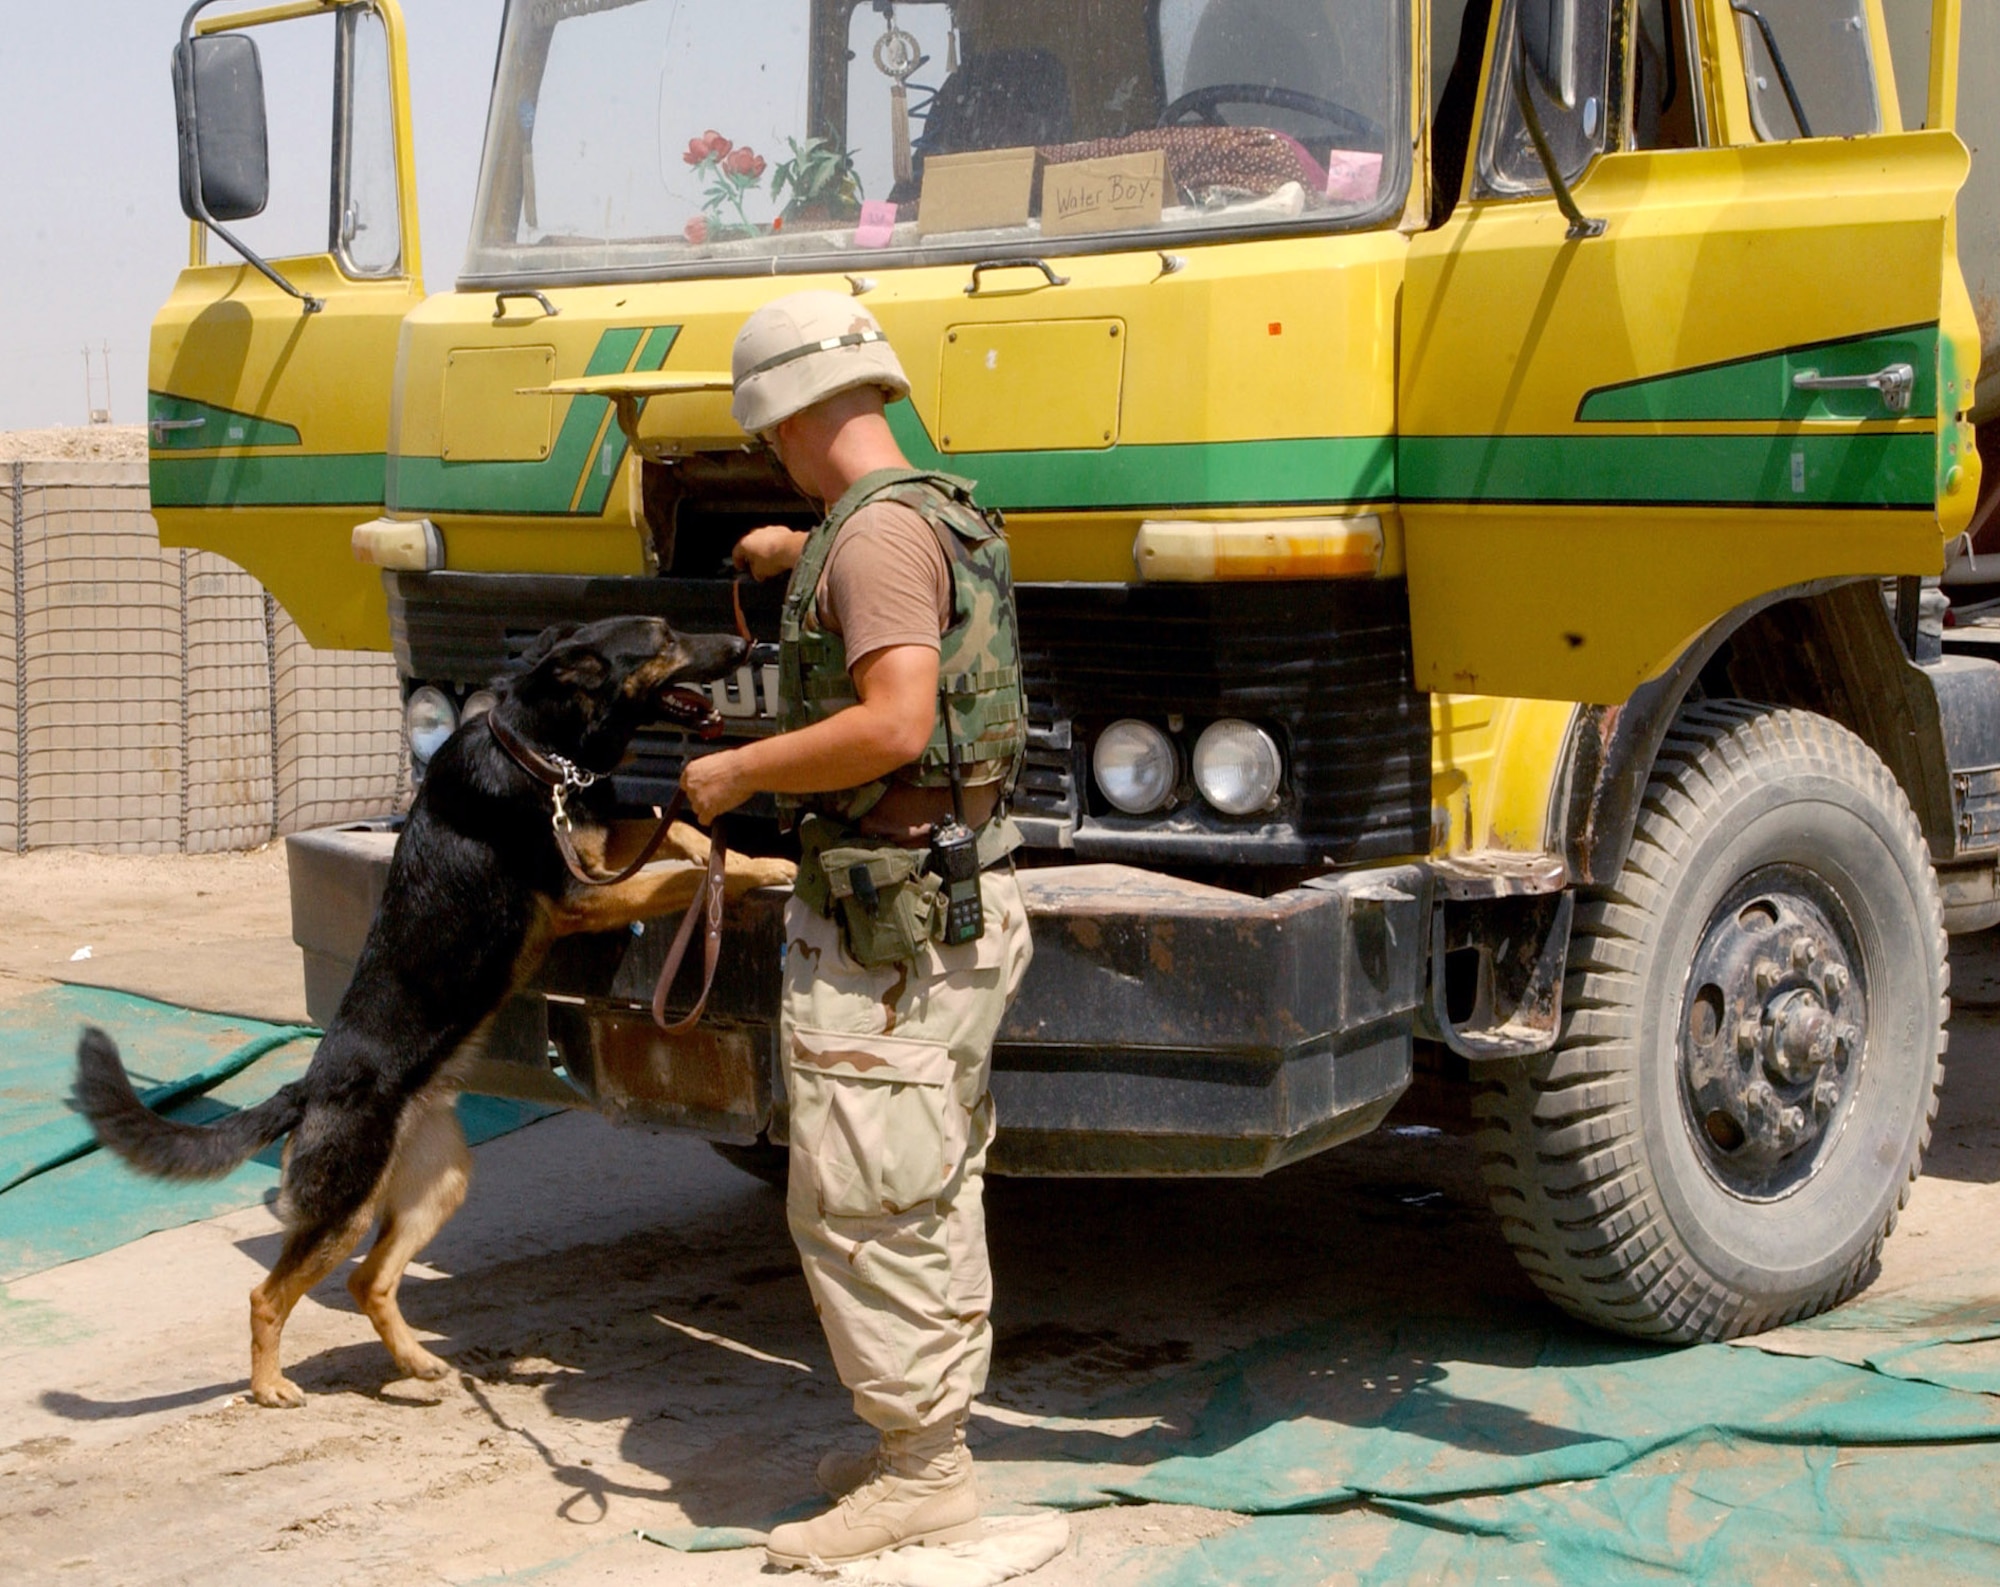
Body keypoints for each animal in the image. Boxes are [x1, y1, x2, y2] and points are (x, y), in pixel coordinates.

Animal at [78, 611, 796, 1407]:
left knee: (368, 1280)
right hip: (345, 1206)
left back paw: (417, 1365)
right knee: (269, 1295)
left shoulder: (607, 844)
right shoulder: (587, 894)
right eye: (665, 639)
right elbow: (683, 876)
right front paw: (766, 868)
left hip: (436, 1187)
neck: (543, 756)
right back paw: (271, 1386)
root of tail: (307, 1090)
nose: (747, 646)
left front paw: (758, 860)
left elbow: (685, 834)